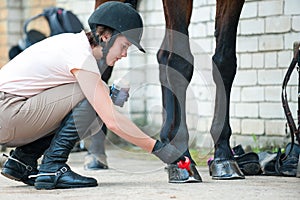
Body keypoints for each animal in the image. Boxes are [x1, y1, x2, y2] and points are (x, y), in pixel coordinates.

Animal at [95, 0, 246, 180]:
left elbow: (225, 61)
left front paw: (224, 155)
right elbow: (180, 62)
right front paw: (182, 156)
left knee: (162, 55)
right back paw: (95, 155)